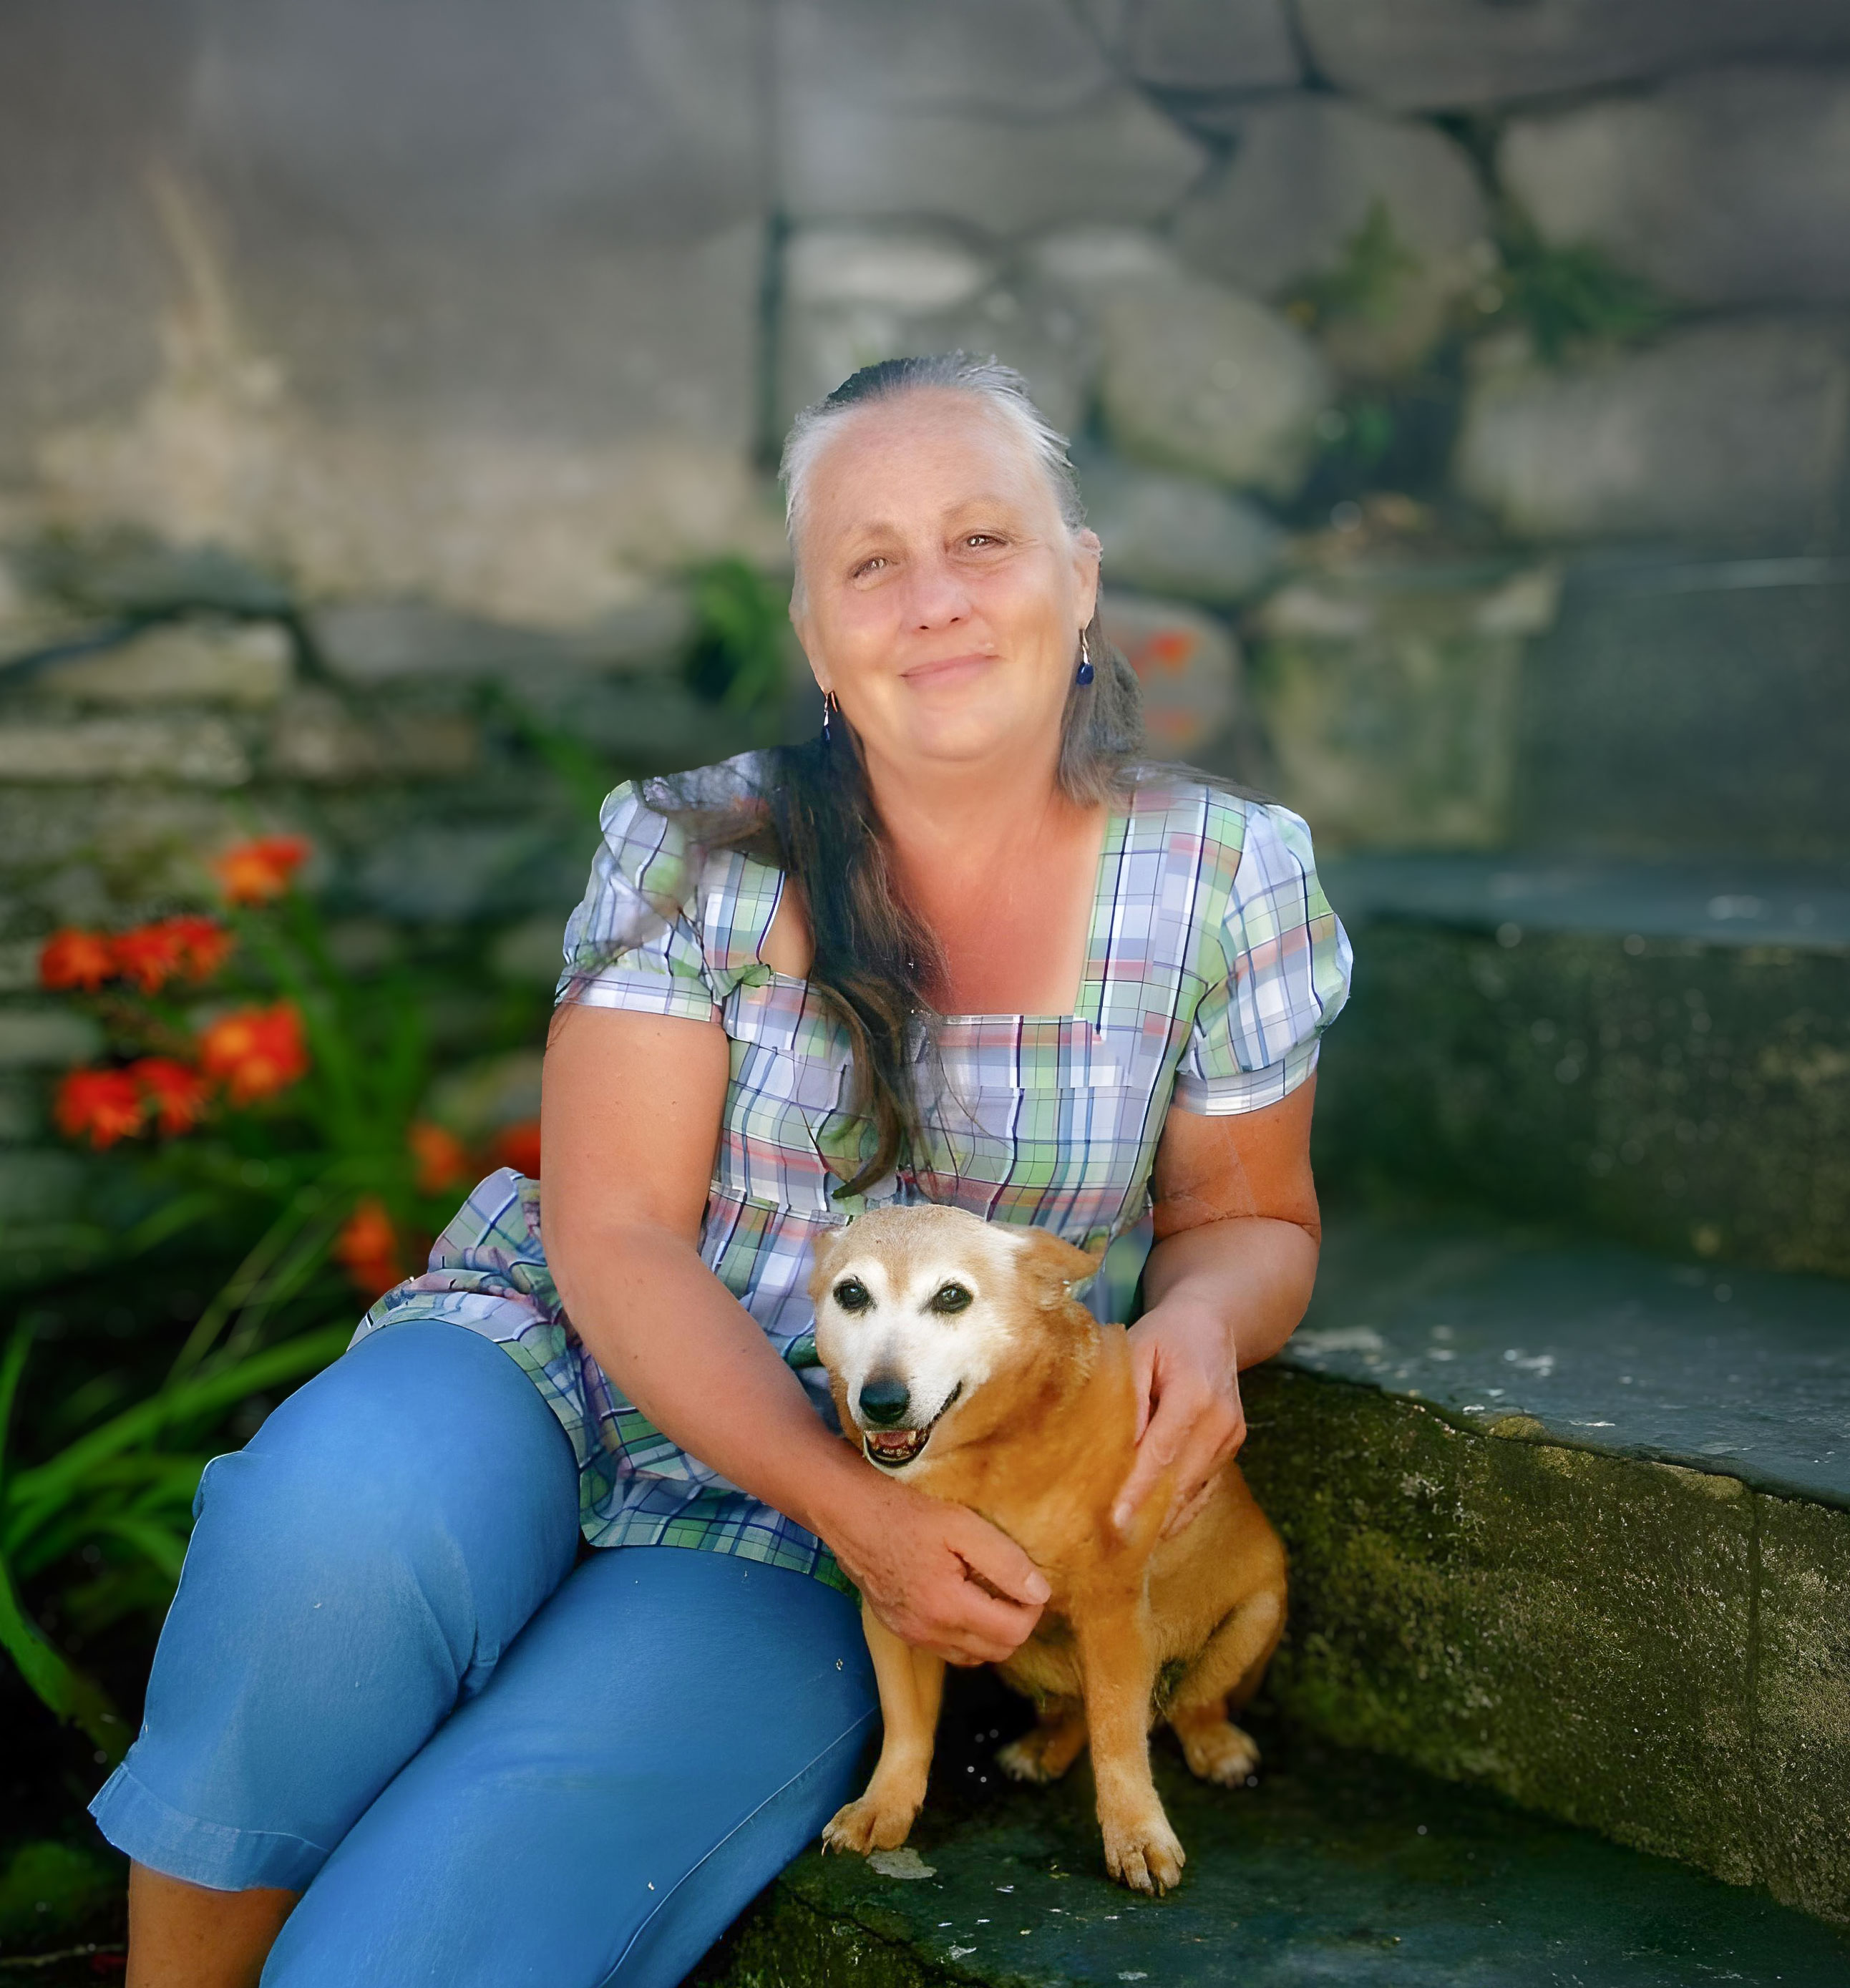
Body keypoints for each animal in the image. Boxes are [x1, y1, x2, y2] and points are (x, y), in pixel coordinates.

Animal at [810, 1192, 1287, 1892]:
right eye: (850, 1293)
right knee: (1075, 1711)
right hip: (1015, 1648)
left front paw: (1135, 1834)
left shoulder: (1113, 1612)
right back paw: (1045, 1746)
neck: (984, 1463)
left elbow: (1118, 1737)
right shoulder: (898, 1607)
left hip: (1255, 1616)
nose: (882, 1400)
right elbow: (905, 1726)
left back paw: (1215, 1744)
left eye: (952, 1297)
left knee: (1183, 1706)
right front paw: (885, 1804)